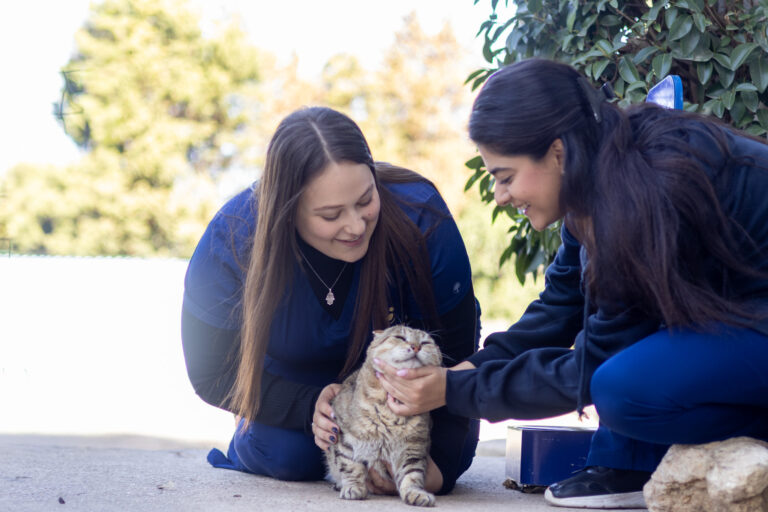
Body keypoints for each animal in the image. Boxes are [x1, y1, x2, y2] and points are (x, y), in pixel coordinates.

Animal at [325, 325, 442, 507]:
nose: (416, 346)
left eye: (425, 342)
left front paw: (415, 493)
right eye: (400, 338)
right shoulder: (344, 437)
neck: (390, 412)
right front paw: (353, 487)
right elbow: (351, 466)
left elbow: (412, 474)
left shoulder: (414, 446)